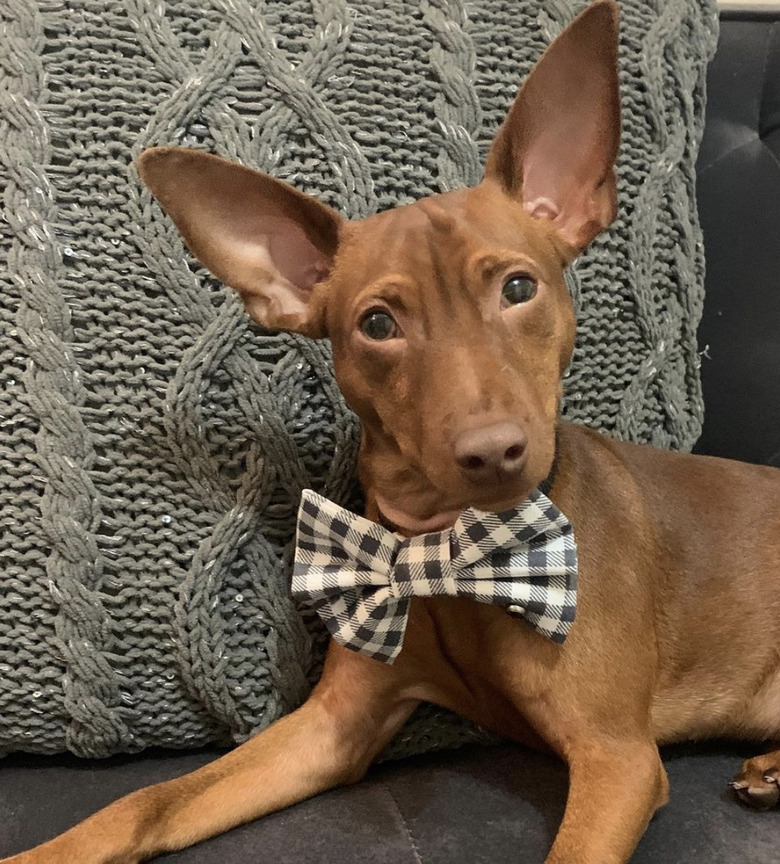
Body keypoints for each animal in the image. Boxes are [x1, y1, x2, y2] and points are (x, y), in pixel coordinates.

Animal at [6, 0, 780, 860]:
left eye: (519, 287)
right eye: (378, 324)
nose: (495, 453)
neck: (452, 552)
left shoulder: (619, 757)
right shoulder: (332, 728)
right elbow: (147, 801)